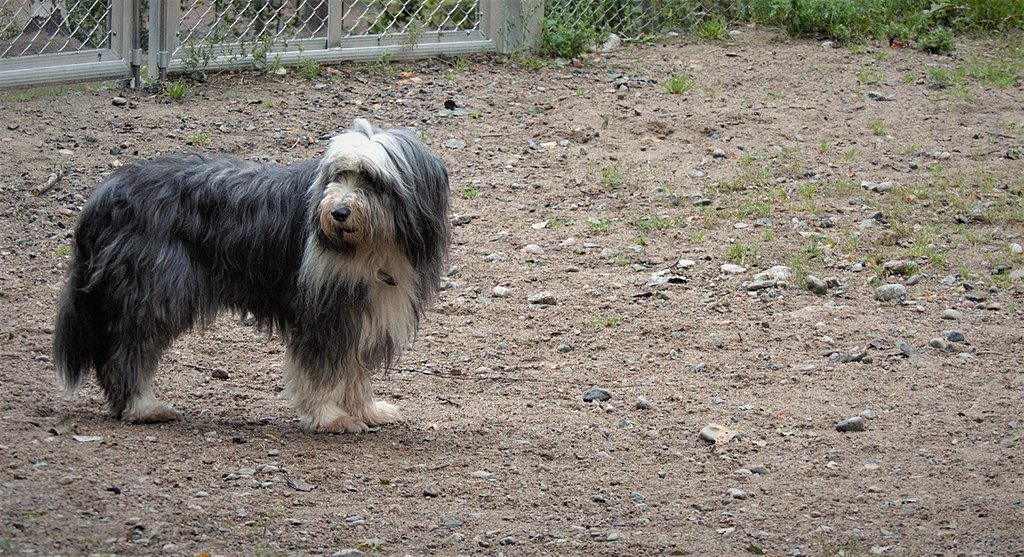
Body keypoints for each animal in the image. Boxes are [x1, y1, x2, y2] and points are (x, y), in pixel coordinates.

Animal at [54, 119, 450, 432]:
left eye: (372, 179)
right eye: (338, 176)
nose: (338, 213)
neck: (372, 247)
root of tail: (106, 191)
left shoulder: (359, 311)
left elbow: (353, 370)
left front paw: (366, 410)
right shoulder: (321, 312)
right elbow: (320, 370)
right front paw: (329, 417)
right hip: (155, 290)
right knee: (128, 351)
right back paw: (143, 407)